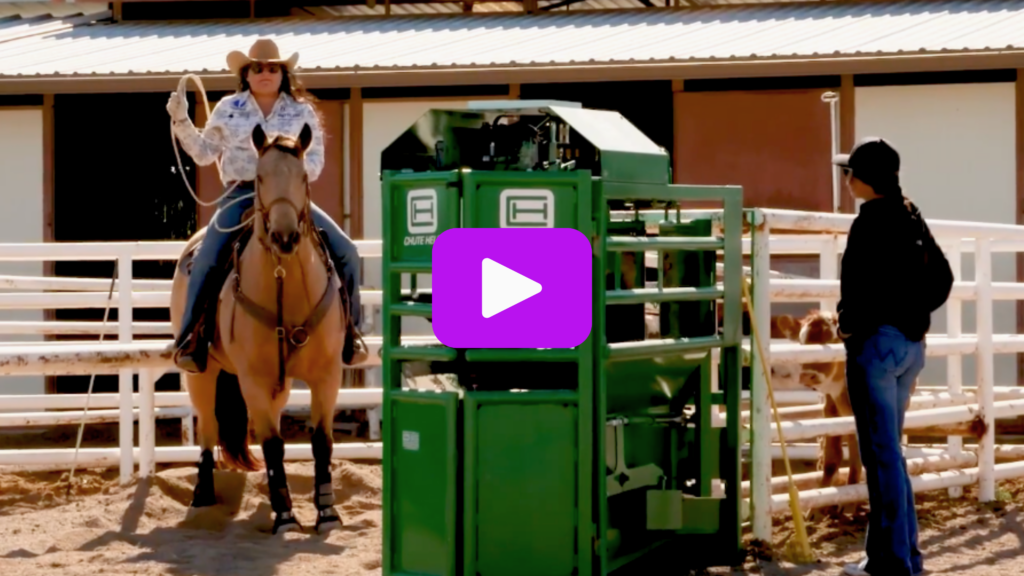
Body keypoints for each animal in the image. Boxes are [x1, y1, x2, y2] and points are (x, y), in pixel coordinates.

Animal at [169, 121, 350, 532]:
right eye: (260, 177)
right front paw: (285, 516)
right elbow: (271, 444)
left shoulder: (327, 375)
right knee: (207, 429)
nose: (285, 237)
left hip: (277, 386)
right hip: (203, 373)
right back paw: (203, 496)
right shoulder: (251, 379)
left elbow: (321, 442)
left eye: (303, 177)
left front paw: (326, 512)